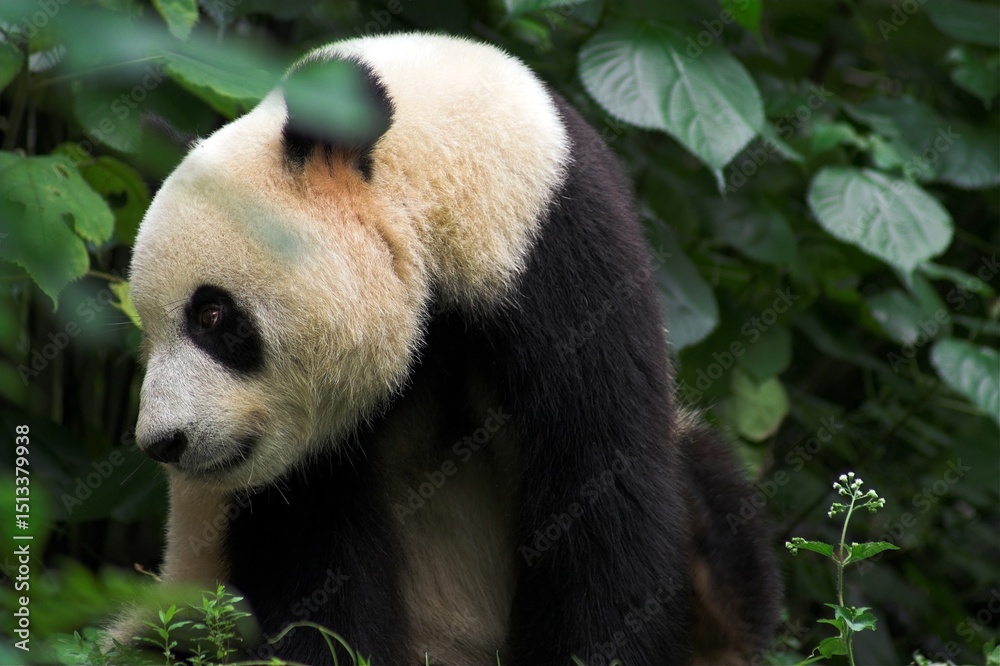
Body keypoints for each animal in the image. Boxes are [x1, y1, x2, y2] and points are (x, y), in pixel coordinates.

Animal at [125, 32, 779, 665]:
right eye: (149, 331)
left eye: (212, 315)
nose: (164, 442)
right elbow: (316, 559)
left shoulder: (562, 262)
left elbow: (599, 484)